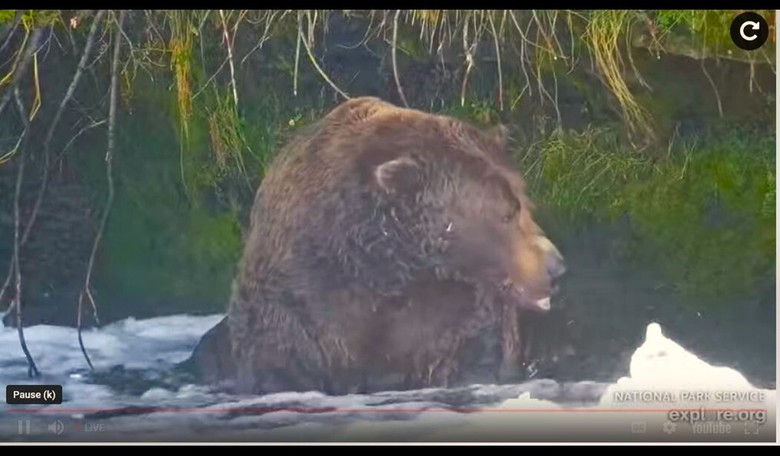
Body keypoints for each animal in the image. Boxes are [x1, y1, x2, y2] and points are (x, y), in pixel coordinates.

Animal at [188, 97, 565, 395]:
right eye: (506, 213)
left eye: (525, 202)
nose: (556, 267)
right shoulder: (300, 304)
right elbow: (283, 362)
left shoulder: (449, 312)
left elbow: (463, 353)